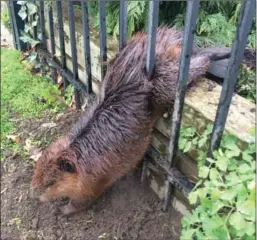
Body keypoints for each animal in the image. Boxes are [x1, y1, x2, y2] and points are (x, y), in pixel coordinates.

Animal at [31, 26, 229, 216]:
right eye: (37, 174)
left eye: (50, 183)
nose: (34, 194)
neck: (82, 153)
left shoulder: (91, 182)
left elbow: (82, 201)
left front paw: (61, 210)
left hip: (167, 79)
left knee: (196, 64)